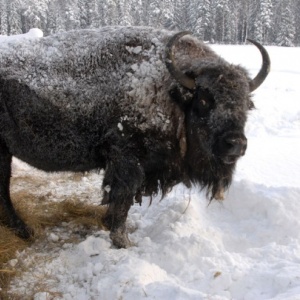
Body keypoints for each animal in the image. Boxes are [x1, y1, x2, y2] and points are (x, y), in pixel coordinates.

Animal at [0, 27, 270, 248]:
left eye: (247, 105)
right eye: (204, 100)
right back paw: (25, 230)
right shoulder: (127, 161)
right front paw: (123, 241)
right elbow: (122, 201)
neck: (169, 91)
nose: (235, 145)